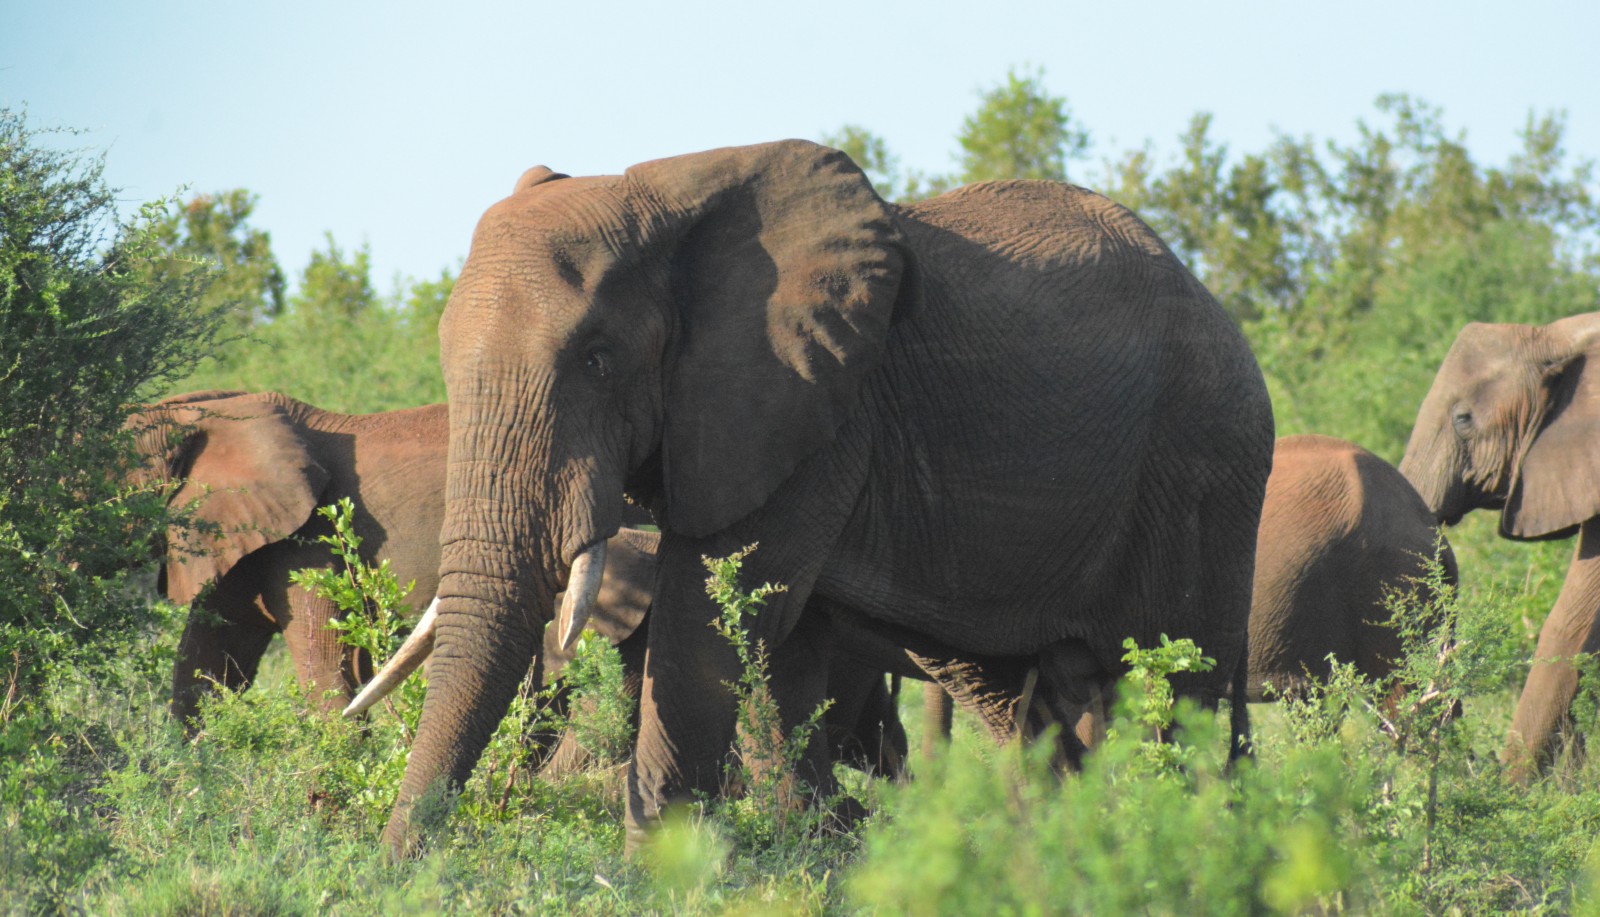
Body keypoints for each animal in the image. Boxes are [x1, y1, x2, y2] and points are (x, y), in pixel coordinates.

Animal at [393, 139, 1280, 857]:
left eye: (597, 360)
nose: (403, 862)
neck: (668, 195)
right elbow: (778, 647)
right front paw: (815, 850)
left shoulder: (811, 406)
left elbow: (712, 622)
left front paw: (658, 868)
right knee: (1019, 700)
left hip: (1205, 467)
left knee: (1178, 692)